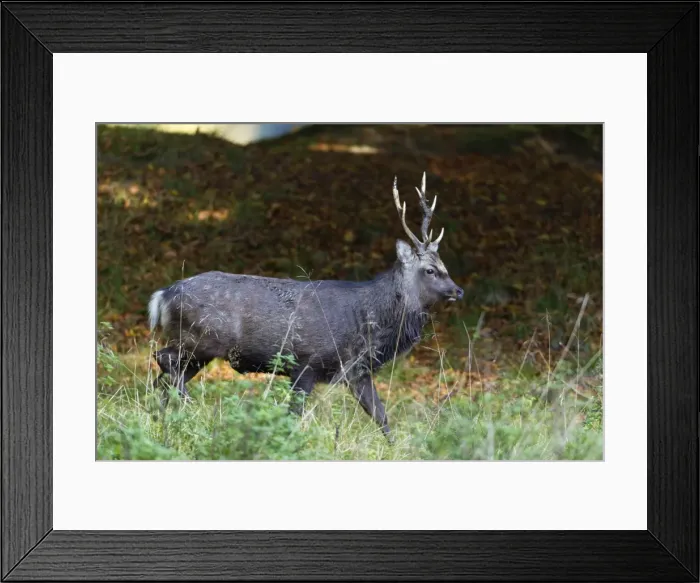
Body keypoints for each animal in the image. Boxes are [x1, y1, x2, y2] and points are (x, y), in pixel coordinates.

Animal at [147, 172, 463, 437]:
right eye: (430, 270)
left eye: (445, 266)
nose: (458, 291)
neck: (367, 321)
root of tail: (162, 295)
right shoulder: (306, 361)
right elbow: (293, 415)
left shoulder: (357, 371)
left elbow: (381, 416)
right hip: (202, 339)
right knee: (164, 361)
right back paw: (194, 410)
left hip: (198, 349)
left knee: (165, 377)